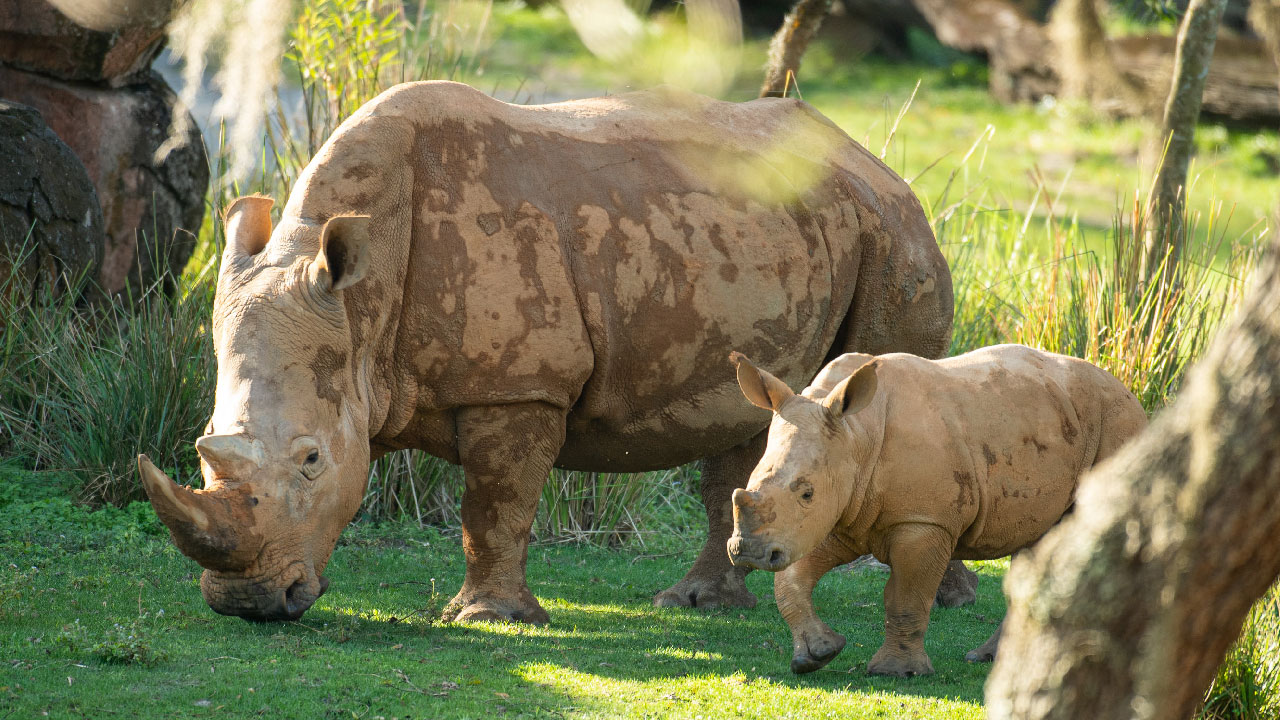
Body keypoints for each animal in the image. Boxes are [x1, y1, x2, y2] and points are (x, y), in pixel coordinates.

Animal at [136, 80, 954, 623]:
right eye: (204, 446)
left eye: (311, 460)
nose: (246, 603)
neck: (357, 305)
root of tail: (871, 159)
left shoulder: (519, 386)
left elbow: (494, 502)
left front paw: (488, 619)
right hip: (801, 233)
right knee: (759, 417)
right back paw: (696, 604)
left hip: (893, 235)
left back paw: (938, 599)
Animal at [726, 345, 1147, 676]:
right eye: (751, 479)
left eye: (807, 493)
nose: (747, 552)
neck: (856, 435)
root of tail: (1127, 390)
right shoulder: (836, 514)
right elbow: (790, 581)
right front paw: (817, 654)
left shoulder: (923, 522)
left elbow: (906, 597)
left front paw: (896, 672)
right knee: (1038, 543)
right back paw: (989, 658)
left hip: (1116, 421)